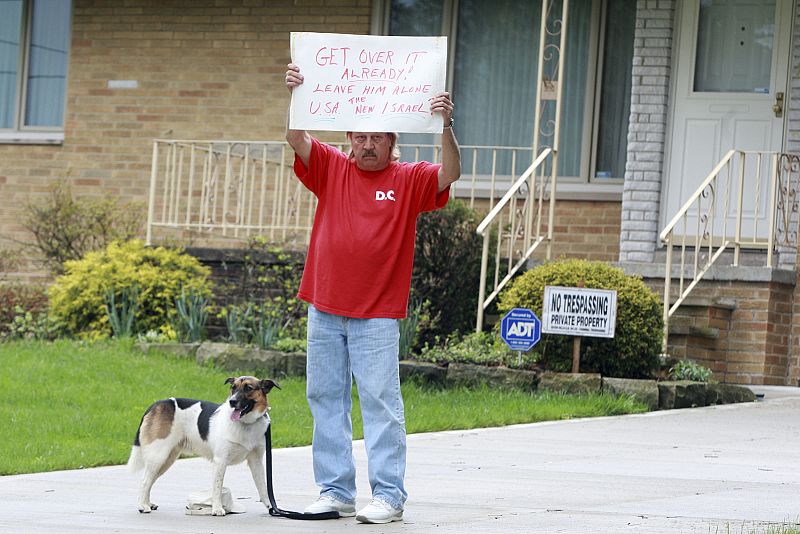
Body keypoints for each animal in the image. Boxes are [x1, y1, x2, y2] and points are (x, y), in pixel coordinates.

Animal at [130, 376, 280, 520]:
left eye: (248, 388)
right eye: (233, 387)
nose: (232, 401)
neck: (246, 423)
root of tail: (156, 404)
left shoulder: (256, 462)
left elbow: (263, 488)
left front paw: (271, 508)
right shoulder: (220, 461)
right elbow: (217, 488)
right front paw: (217, 509)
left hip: (167, 459)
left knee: (149, 481)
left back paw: (147, 503)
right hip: (158, 455)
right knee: (144, 481)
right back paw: (142, 506)